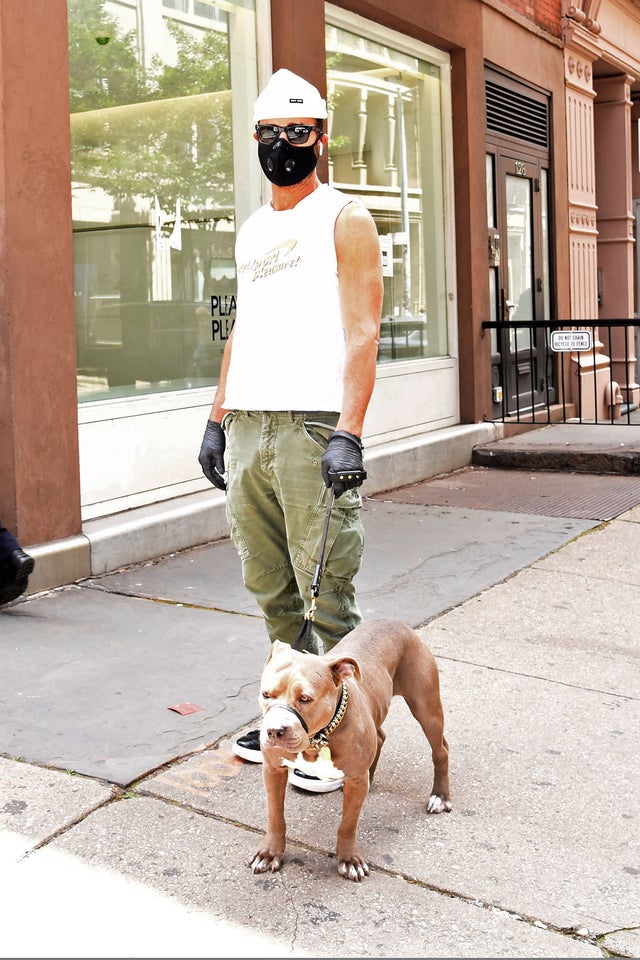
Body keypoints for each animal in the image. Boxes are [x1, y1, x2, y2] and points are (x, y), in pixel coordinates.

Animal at [248, 620, 452, 880]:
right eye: (266, 694)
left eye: (305, 698)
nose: (274, 731)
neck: (316, 739)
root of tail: (396, 622)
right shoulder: (273, 770)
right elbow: (275, 817)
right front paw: (270, 853)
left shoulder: (355, 779)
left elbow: (347, 825)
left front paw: (349, 860)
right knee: (380, 737)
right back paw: (371, 777)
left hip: (427, 707)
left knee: (441, 750)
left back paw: (440, 796)